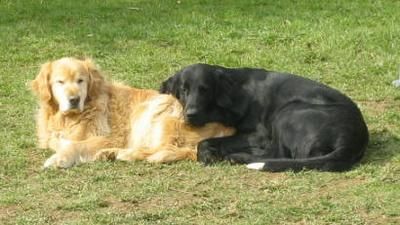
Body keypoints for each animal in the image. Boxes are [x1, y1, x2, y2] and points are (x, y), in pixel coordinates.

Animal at [160, 64, 368, 171]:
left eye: (205, 90)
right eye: (183, 90)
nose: (191, 114)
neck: (237, 92)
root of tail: (351, 140)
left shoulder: (258, 134)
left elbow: (205, 142)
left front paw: (207, 154)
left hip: (288, 111)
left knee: (278, 154)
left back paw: (237, 157)